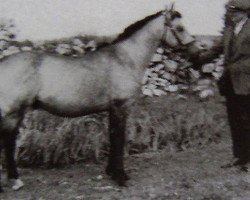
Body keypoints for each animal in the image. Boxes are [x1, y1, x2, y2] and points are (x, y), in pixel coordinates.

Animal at [0, 5, 201, 191]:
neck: (125, 58)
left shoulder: (112, 109)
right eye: (180, 28)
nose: (195, 51)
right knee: (8, 141)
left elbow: (112, 137)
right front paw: (121, 177)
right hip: (13, 112)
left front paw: (111, 172)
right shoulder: (121, 106)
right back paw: (15, 180)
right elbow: (119, 138)